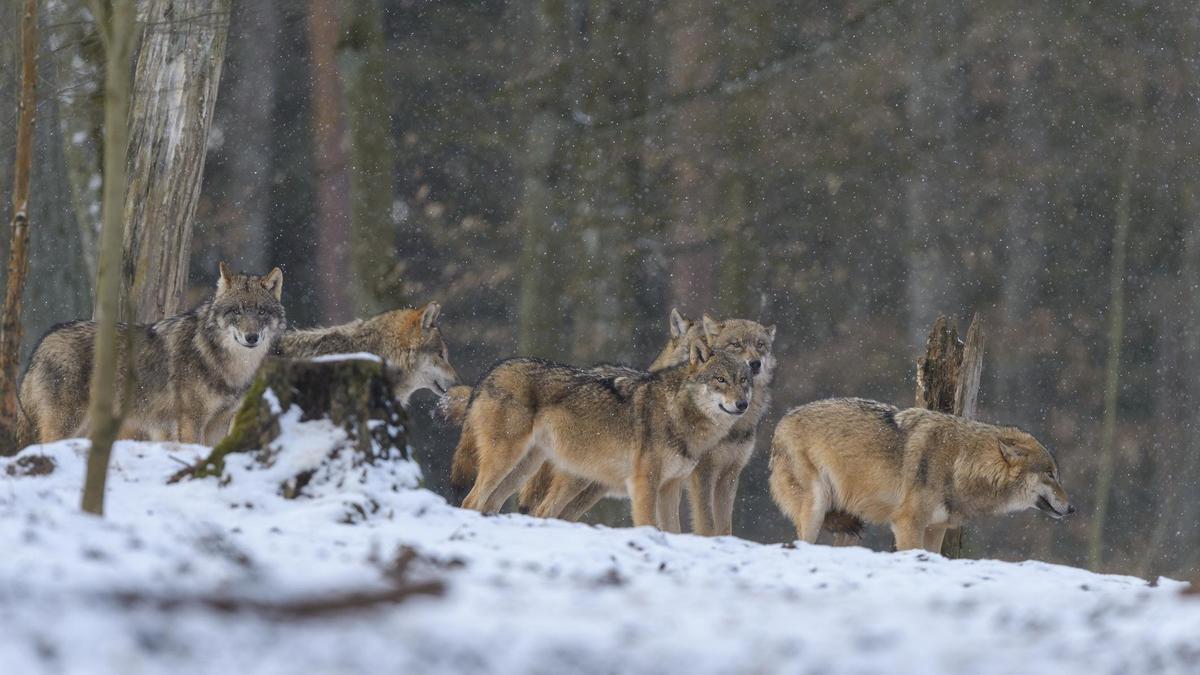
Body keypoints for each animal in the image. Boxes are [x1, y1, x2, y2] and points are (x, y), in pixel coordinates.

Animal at [17, 263, 284, 446]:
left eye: (261, 312)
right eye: (237, 311)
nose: (251, 337)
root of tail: (43, 341)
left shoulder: (220, 423)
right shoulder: (191, 421)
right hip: (68, 425)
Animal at [456, 343, 748, 528]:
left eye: (743, 380)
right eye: (720, 379)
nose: (742, 404)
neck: (678, 411)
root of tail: (490, 373)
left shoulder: (671, 488)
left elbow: (673, 530)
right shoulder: (644, 484)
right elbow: (649, 525)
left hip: (527, 469)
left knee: (497, 504)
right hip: (508, 461)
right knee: (471, 500)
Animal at [772, 396, 1075, 550]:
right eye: (1050, 474)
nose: (1073, 508)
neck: (960, 463)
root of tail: (781, 421)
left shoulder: (935, 528)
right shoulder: (908, 524)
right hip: (815, 507)